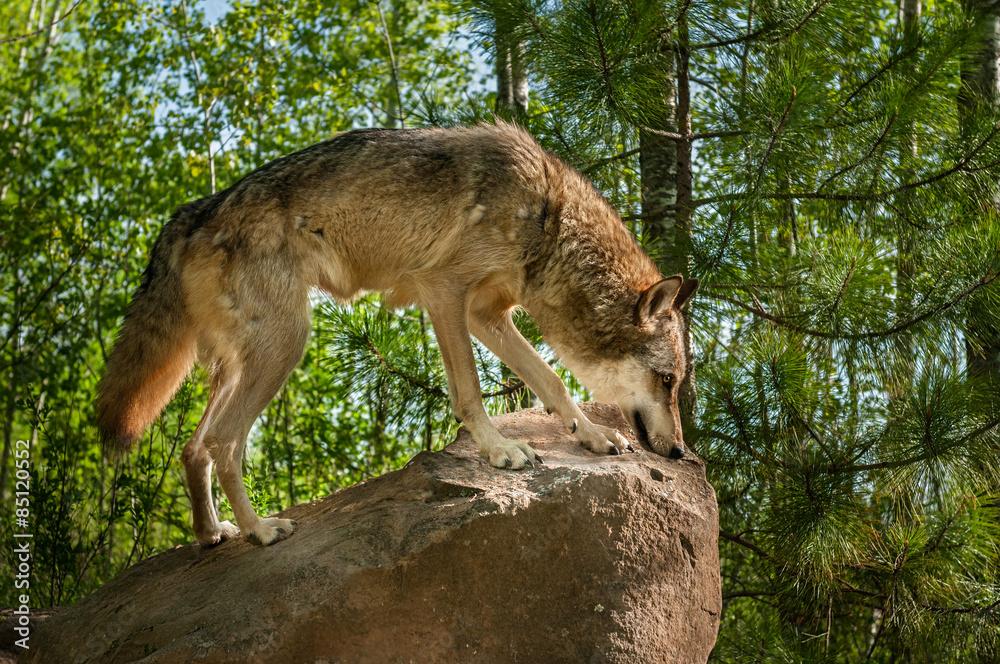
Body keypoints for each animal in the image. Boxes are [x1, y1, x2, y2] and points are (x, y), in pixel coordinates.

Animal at [97, 122, 698, 547]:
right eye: (669, 381)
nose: (678, 453)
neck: (551, 222)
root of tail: (192, 212)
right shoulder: (445, 292)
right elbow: (470, 391)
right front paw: (500, 451)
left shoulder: (487, 314)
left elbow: (550, 381)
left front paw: (592, 436)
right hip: (287, 346)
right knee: (223, 442)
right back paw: (259, 531)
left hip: (241, 363)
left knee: (193, 447)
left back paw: (210, 535)